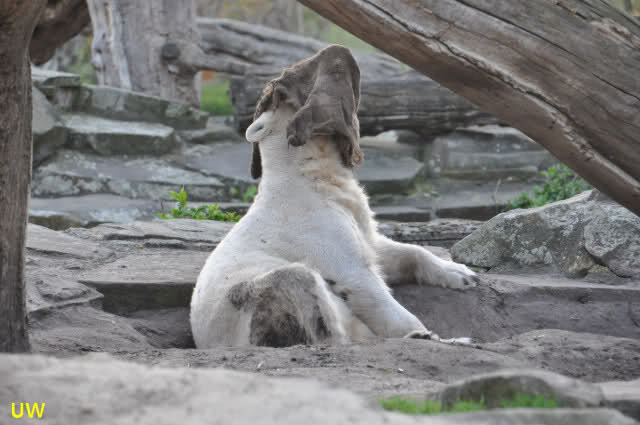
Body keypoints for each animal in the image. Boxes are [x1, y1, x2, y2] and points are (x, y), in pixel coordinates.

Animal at [190, 45, 478, 348]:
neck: (308, 177)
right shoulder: (317, 230)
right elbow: (361, 280)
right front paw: (429, 334)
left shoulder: (354, 218)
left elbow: (382, 249)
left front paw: (461, 273)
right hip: (246, 306)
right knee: (297, 284)